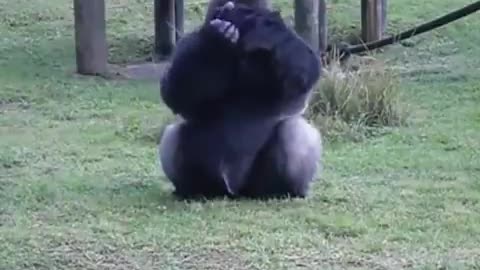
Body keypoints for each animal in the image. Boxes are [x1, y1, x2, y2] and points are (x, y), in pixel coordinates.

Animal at [158, 1, 322, 199]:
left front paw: (262, 27)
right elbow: (174, 92)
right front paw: (214, 41)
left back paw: (286, 190)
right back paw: (189, 189)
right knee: (173, 133)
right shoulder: (188, 42)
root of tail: (234, 190)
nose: (225, 10)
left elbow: (305, 65)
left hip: (257, 185)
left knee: (294, 129)